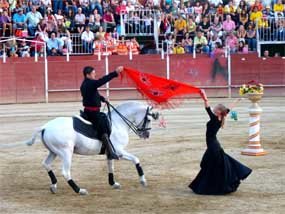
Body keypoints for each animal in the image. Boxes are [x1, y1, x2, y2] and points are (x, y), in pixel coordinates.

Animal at [26, 102, 160, 196]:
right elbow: (136, 159)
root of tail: (45, 127)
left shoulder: (110, 153)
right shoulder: (119, 152)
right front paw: (143, 181)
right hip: (66, 153)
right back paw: (79, 190)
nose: (146, 135)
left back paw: (54, 186)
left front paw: (113, 184)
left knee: (46, 164)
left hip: (53, 152)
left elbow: (110, 167)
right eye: (149, 119)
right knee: (65, 172)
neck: (118, 123)